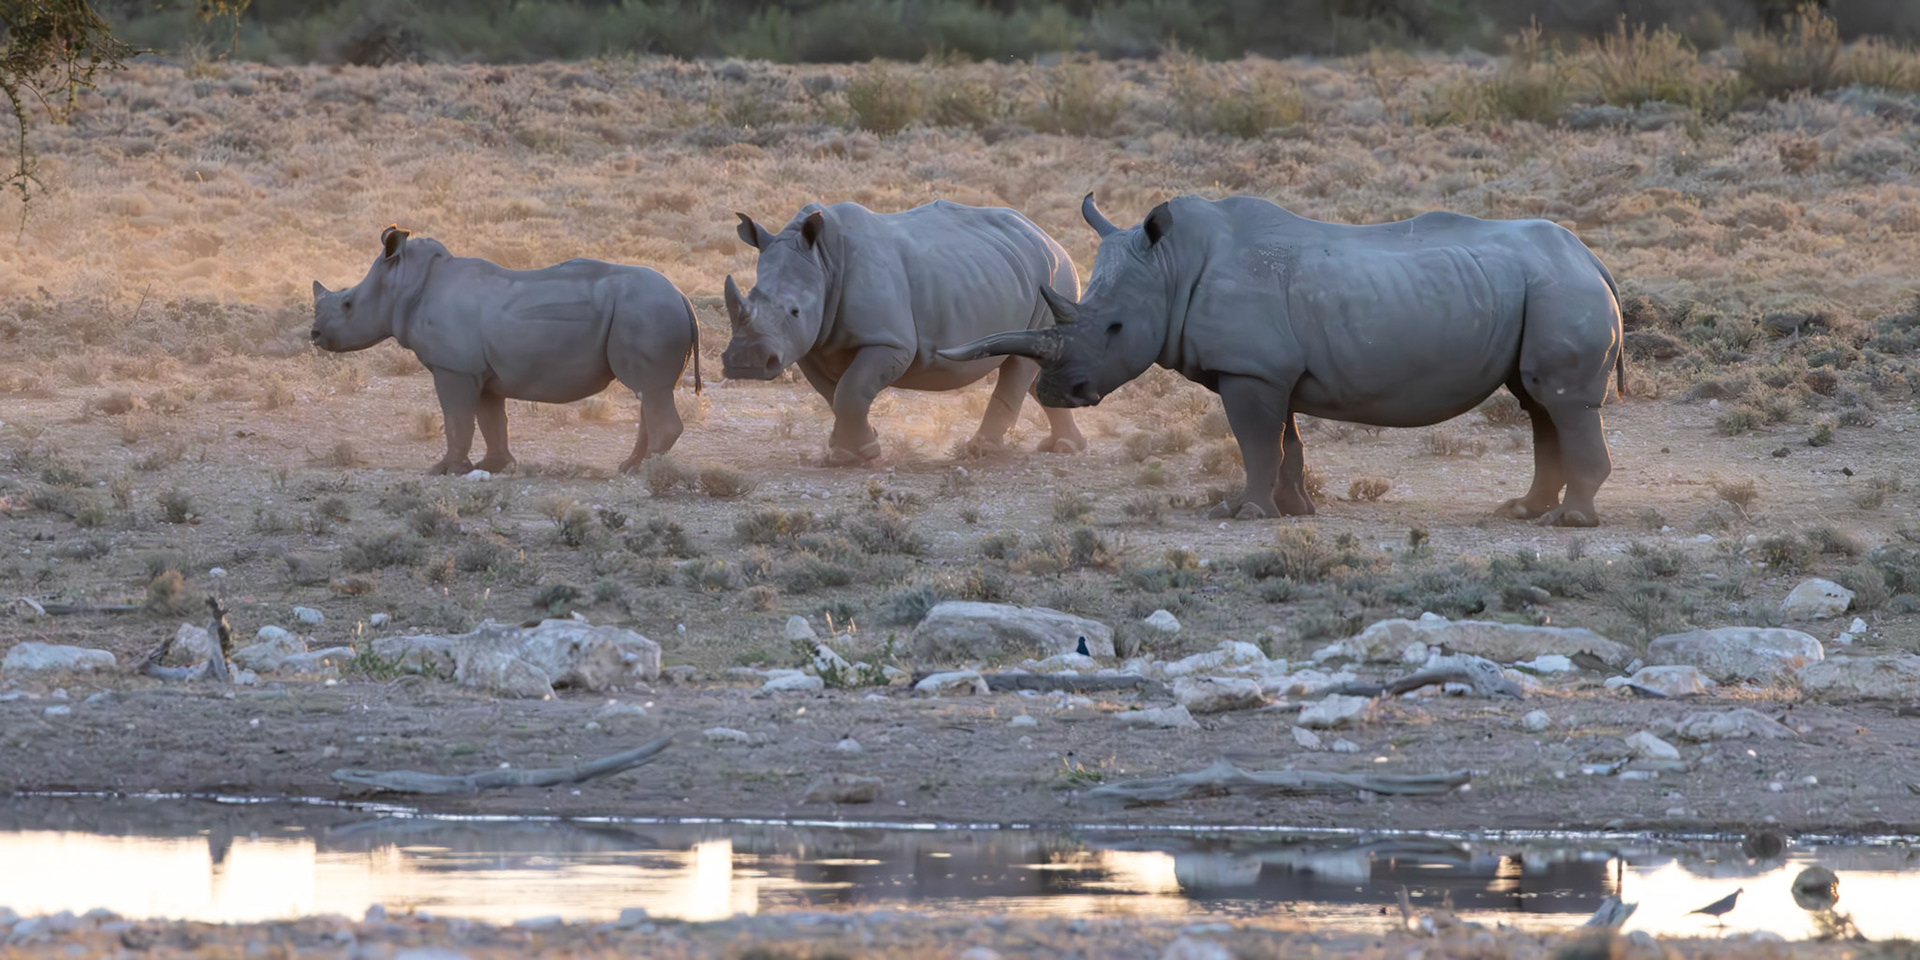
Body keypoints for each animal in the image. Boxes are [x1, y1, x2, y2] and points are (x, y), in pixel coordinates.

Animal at [311, 226, 701, 475]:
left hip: (646, 311)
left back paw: (647, 470)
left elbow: (457, 420)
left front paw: (443, 470)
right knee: (649, 394)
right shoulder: (480, 372)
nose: (314, 335)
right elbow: (491, 420)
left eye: (347, 304)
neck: (406, 283)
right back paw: (629, 467)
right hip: (646, 310)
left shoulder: (454, 368)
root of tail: (682, 297)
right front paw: (494, 467)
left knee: (650, 390)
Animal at [721, 200, 1085, 464]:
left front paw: (853, 455)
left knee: (1021, 364)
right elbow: (834, 395)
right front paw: (851, 448)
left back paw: (980, 451)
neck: (824, 262)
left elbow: (850, 391)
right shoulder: (810, 346)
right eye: (748, 298)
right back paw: (1065, 447)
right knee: (1034, 366)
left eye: (795, 311)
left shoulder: (889, 342)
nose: (744, 362)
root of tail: (1049, 238)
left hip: (1054, 279)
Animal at [942, 194, 1626, 527]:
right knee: (1537, 403)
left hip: (1560, 290)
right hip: (1540, 288)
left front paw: (1239, 512)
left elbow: (1255, 442)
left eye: (1113, 328)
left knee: (1561, 401)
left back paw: (1569, 522)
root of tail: (1592, 258)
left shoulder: (1250, 370)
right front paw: (1294, 510)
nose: (1056, 392)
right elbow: (1286, 442)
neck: (1171, 268)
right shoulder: (1270, 371)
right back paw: (1524, 512)